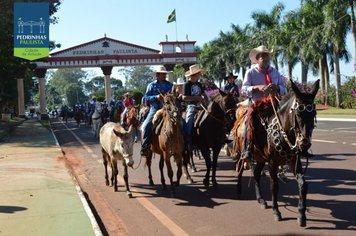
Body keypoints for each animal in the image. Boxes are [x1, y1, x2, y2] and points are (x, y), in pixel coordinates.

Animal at [231, 79, 320, 227]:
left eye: (313, 114)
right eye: (298, 114)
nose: (304, 144)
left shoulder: (294, 161)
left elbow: (303, 185)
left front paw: (301, 214)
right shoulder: (273, 163)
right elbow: (274, 186)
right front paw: (276, 211)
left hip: (260, 158)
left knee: (256, 174)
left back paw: (261, 199)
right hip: (241, 153)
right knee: (239, 168)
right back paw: (238, 191)